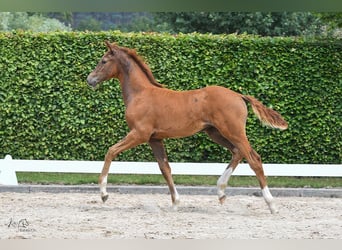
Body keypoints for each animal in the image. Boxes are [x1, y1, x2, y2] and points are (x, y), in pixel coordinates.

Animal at [87, 40, 288, 213]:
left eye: (103, 61)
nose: (90, 80)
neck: (140, 94)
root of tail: (239, 95)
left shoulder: (139, 134)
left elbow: (111, 151)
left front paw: (103, 194)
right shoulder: (155, 139)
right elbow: (165, 168)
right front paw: (175, 203)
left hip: (234, 132)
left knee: (254, 159)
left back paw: (271, 204)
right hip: (215, 133)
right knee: (238, 153)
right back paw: (221, 192)